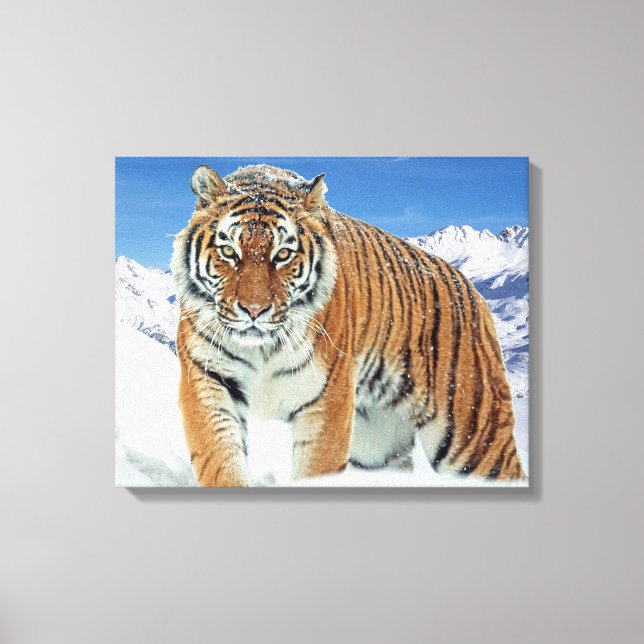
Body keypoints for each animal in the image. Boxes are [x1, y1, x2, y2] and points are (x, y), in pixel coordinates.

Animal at [171, 163, 525, 486]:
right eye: (228, 251)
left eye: (283, 254)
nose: (254, 310)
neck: (263, 349)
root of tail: (472, 290)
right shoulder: (207, 380)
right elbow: (220, 461)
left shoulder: (327, 400)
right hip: (377, 445)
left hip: (474, 435)